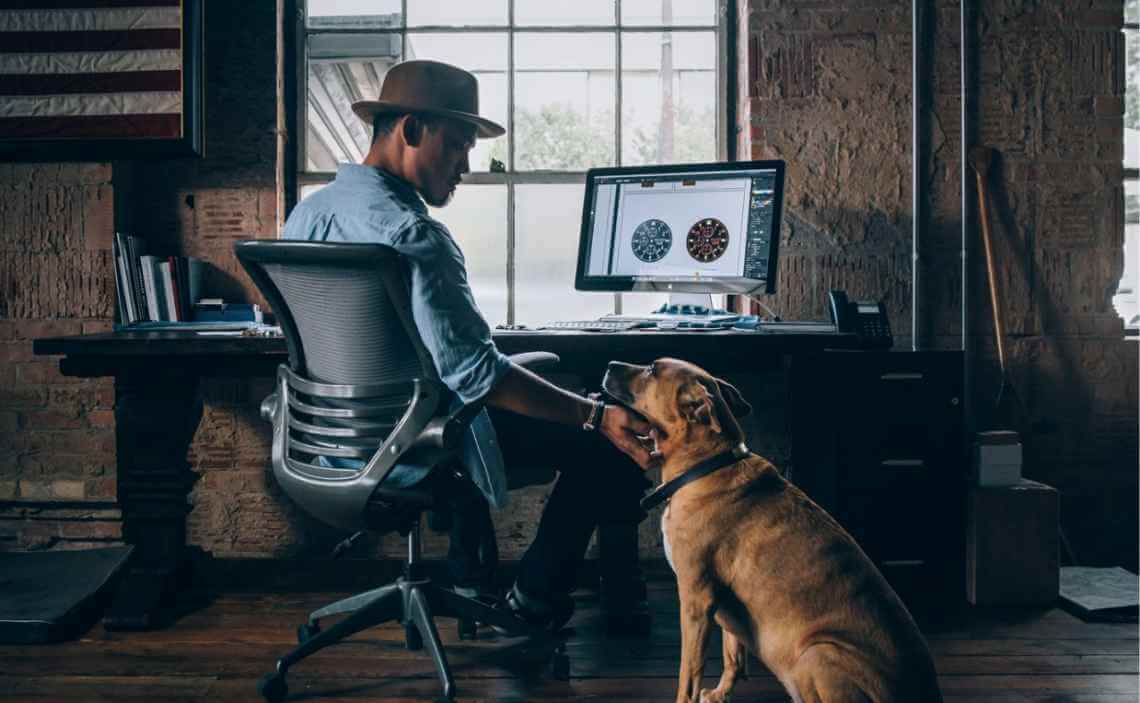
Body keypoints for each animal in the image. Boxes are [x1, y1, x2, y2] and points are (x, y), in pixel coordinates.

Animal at [601, 360, 939, 697]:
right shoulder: (724, 611)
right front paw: (719, 695)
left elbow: (689, 677)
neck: (707, 465)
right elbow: (733, 658)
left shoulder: (696, 601)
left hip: (816, 652)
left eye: (651, 370)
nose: (610, 364)